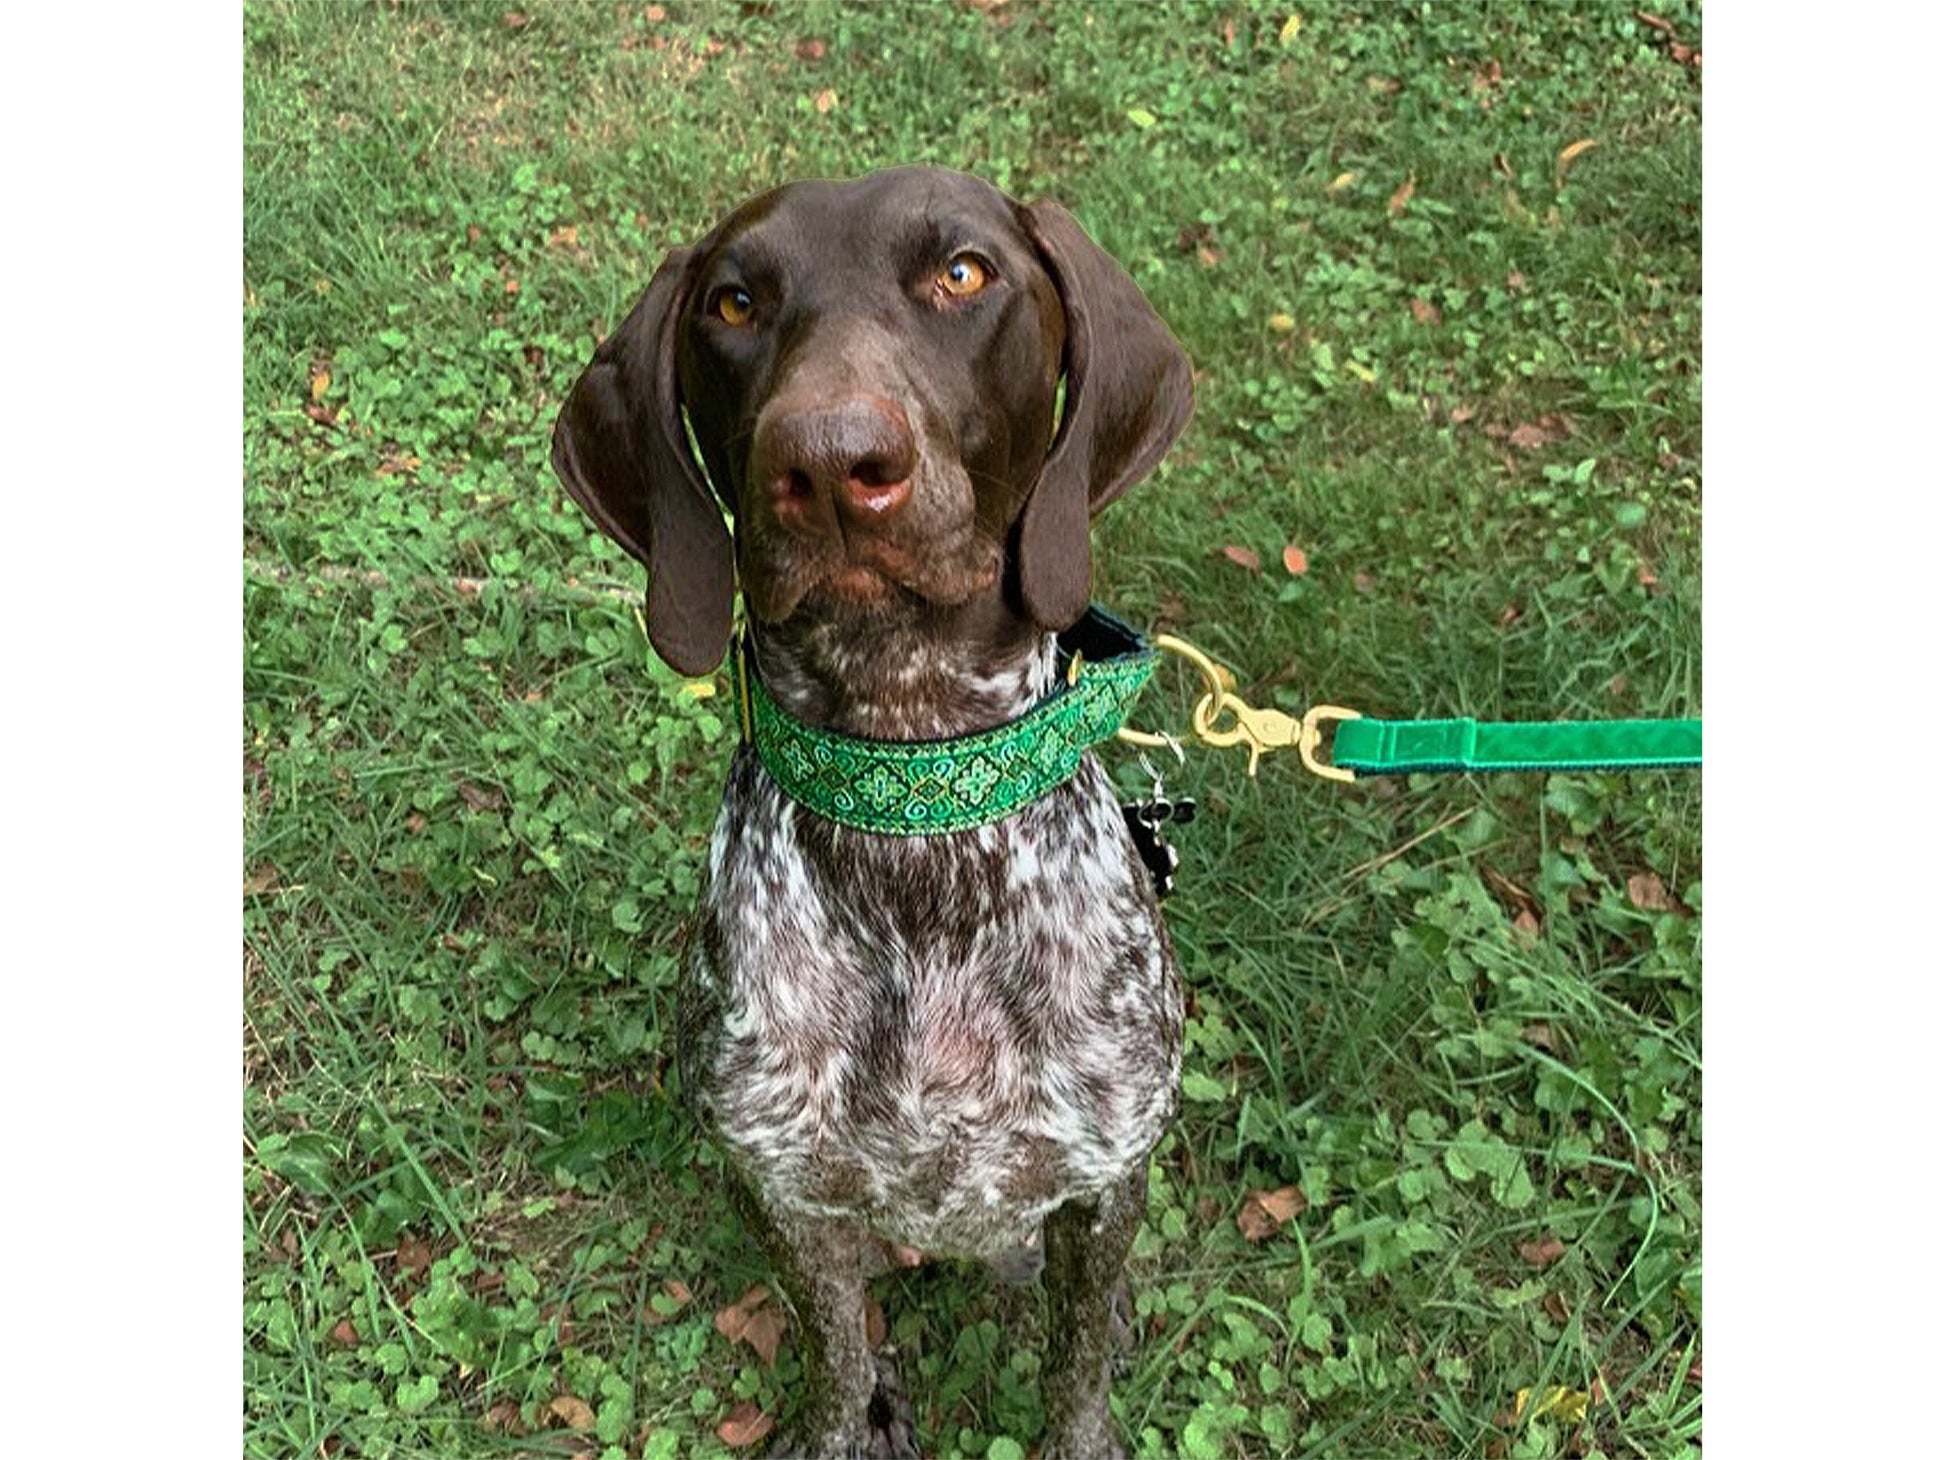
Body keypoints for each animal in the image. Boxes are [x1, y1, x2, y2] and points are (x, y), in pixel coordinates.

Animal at [556, 165, 1190, 1456]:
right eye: (734, 302)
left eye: (961, 272)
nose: (831, 461)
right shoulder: (785, 1187)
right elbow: (836, 1351)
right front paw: (848, 1418)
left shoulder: (1102, 1173)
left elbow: (1073, 1367)